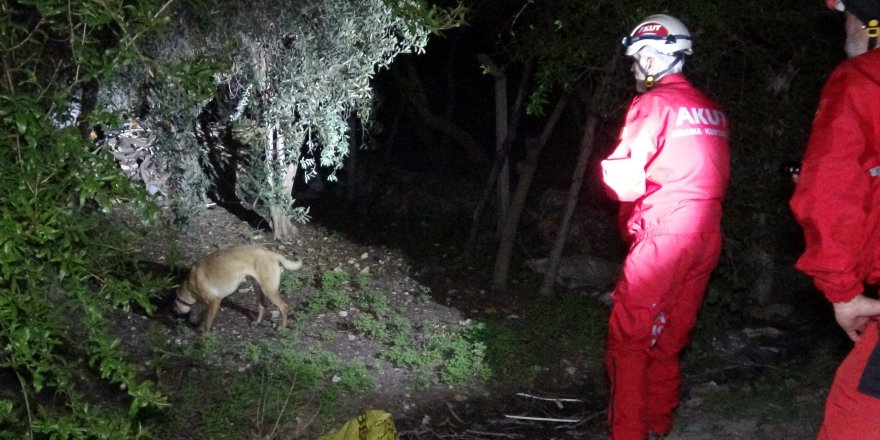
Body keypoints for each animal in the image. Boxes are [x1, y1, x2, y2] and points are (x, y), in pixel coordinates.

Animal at [174, 244, 304, 334]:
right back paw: (257, 323)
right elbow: (204, 317)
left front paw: (204, 337)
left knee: (284, 307)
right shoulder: (210, 304)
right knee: (262, 305)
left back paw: (282, 328)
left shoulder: (215, 302)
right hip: (257, 288)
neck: (189, 286)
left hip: (269, 291)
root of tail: (271, 253)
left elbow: (207, 324)